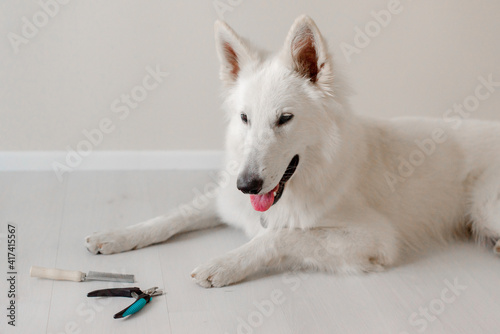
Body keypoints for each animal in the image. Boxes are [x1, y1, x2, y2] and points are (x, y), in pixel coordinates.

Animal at [86, 15, 500, 288]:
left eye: (284, 118)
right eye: (245, 118)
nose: (247, 185)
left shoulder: (373, 238)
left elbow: (280, 236)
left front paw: (225, 263)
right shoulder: (225, 199)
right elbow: (172, 216)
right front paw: (119, 235)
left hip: (486, 209)